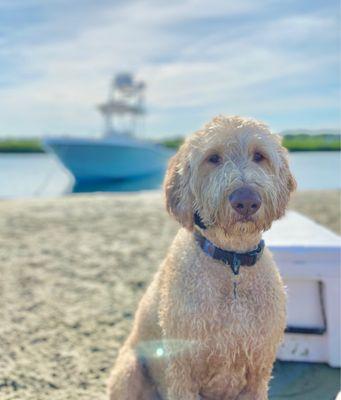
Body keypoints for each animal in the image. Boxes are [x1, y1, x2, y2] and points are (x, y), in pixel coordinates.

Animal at [108, 114, 294, 398]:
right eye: (213, 158)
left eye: (259, 156)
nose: (246, 201)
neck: (232, 263)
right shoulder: (182, 374)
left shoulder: (258, 374)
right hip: (128, 372)